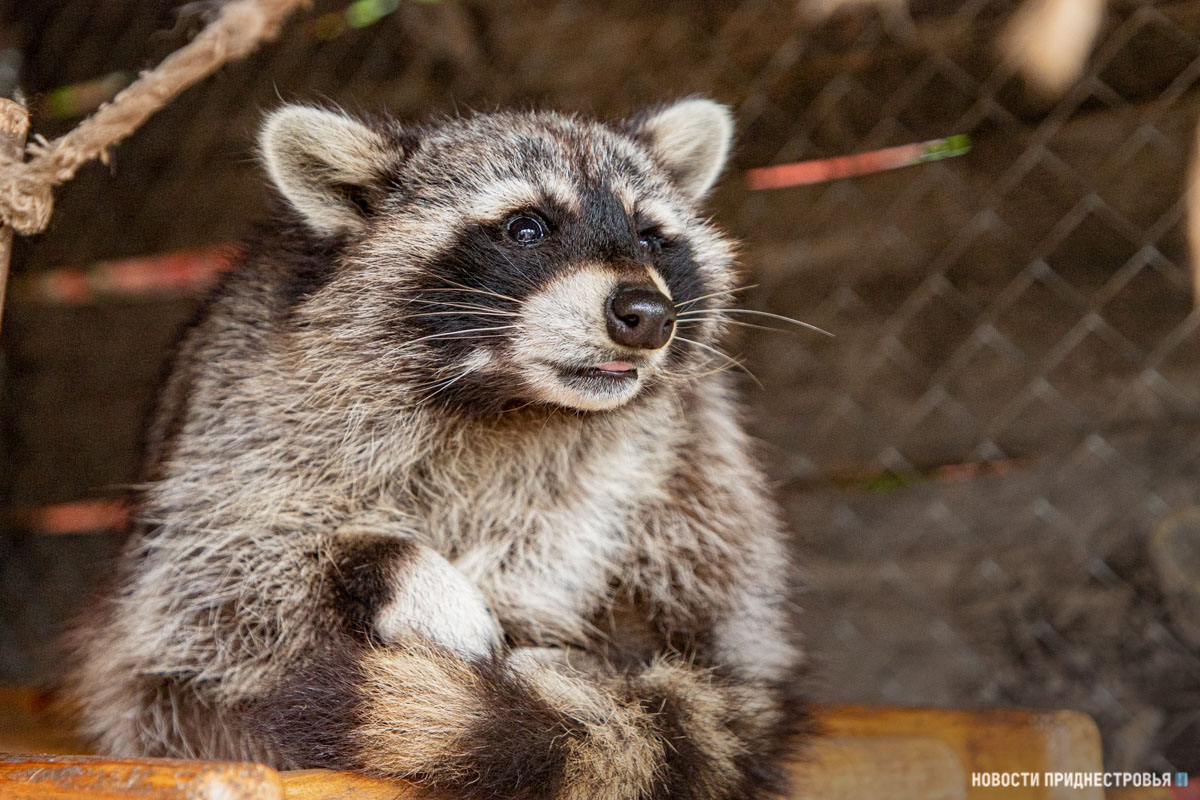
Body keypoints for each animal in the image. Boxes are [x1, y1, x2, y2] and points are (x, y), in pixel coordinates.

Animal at [68, 100, 816, 800]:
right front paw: (404, 570)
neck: (513, 399)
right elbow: (222, 576)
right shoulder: (245, 417)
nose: (648, 315)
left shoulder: (660, 446)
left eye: (652, 237)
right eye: (526, 227)